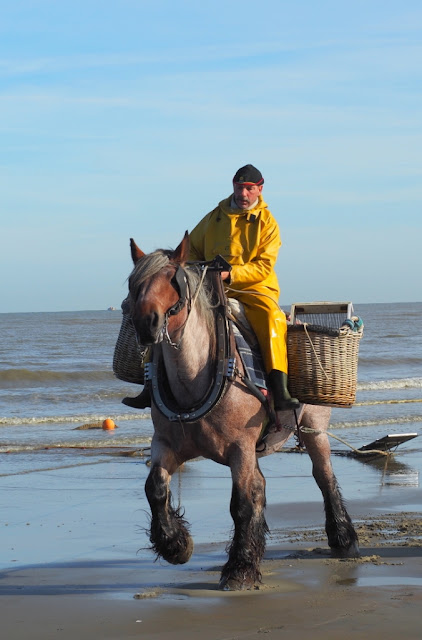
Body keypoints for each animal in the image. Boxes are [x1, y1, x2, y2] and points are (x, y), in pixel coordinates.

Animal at [127, 232, 358, 588]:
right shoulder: (166, 444)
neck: (196, 376)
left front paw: (240, 567)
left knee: (324, 478)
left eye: (172, 279)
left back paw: (343, 538)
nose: (145, 323)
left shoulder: (241, 448)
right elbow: (155, 488)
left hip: (314, 428)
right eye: (133, 282)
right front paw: (175, 545)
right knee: (262, 487)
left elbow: (241, 505)